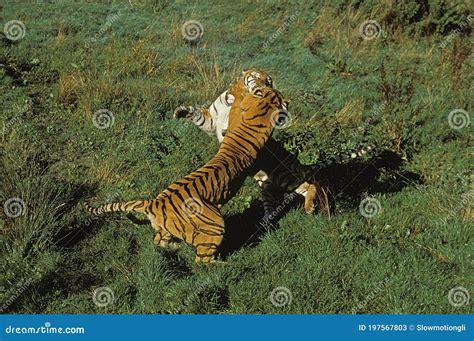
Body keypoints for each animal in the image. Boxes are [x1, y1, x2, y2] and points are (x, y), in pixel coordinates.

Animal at [84, 85, 288, 262]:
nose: (284, 98)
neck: (262, 107)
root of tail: (154, 203)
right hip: (215, 224)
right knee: (202, 261)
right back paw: (228, 264)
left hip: (166, 228)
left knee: (158, 241)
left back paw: (174, 247)